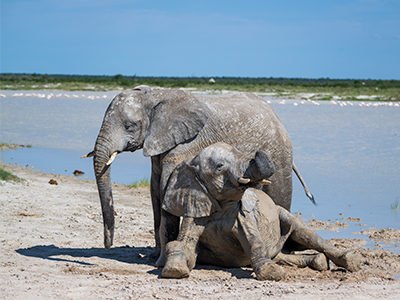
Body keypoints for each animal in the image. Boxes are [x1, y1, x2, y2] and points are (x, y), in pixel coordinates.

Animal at [86, 84, 314, 260]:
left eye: (129, 126)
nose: (107, 246)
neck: (156, 96)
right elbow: (155, 192)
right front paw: (153, 257)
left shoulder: (186, 144)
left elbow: (166, 189)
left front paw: (159, 261)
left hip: (279, 152)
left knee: (279, 195)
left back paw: (286, 250)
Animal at [159, 142, 362, 280]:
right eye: (219, 166)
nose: (257, 151)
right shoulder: (195, 209)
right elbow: (182, 246)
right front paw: (174, 269)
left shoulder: (244, 215)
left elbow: (255, 244)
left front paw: (272, 273)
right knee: (281, 255)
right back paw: (319, 261)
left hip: (284, 214)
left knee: (307, 235)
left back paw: (351, 260)